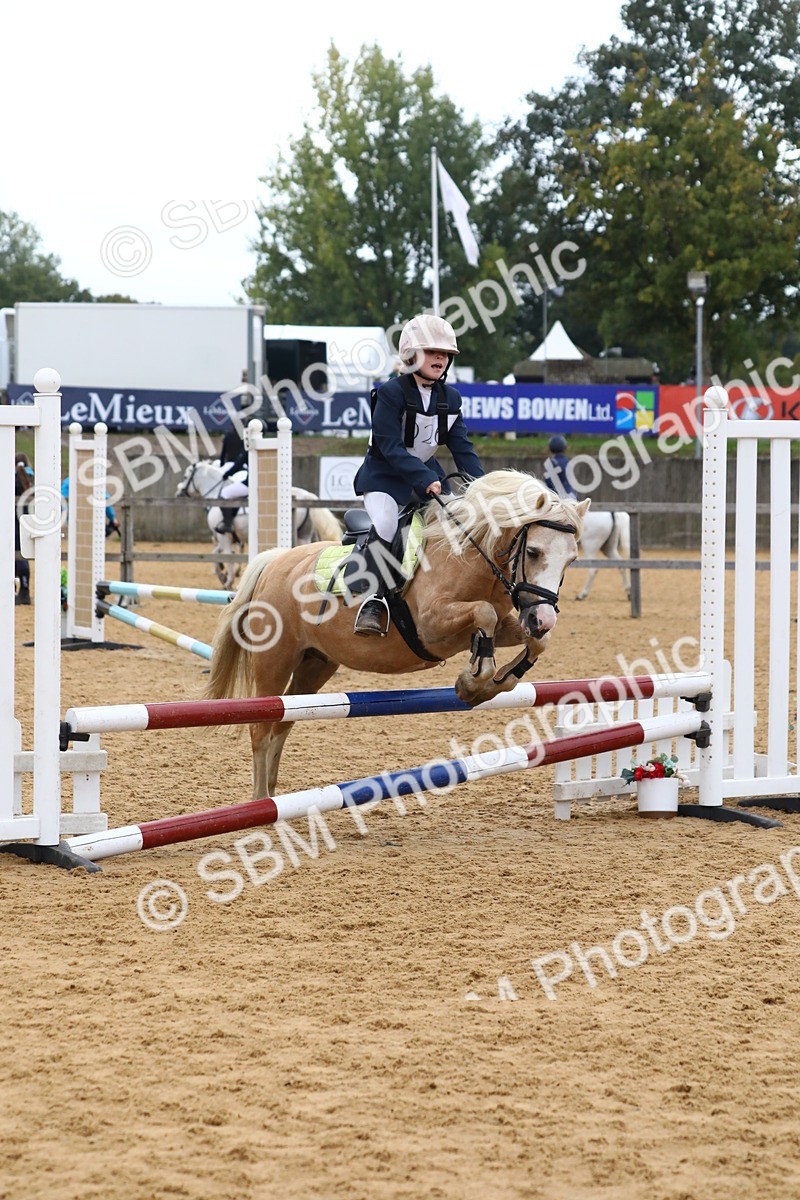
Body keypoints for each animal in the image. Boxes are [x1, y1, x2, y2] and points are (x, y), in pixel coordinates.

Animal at [175, 459, 343, 588]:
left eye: (185, 476)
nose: (178, 494)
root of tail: (306, 495)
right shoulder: (225, 537)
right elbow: (216, 554)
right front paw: (222, 574)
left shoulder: (224, 536)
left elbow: (227, 557)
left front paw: (227, 580)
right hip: (304, 536)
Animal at [205, 470, 590, 797]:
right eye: (534, 552)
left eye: (571, 559)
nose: (542, 617)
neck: (467, 555)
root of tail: (274, 563)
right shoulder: (433, 625)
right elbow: (485, 613)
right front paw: (473, 680)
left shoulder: (508, 622)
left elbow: (529, 638)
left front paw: (495, 681)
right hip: (274, 661)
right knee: (261, 728)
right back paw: (260, 801)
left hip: (315, 665)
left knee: (283, 725)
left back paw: (272, 797)